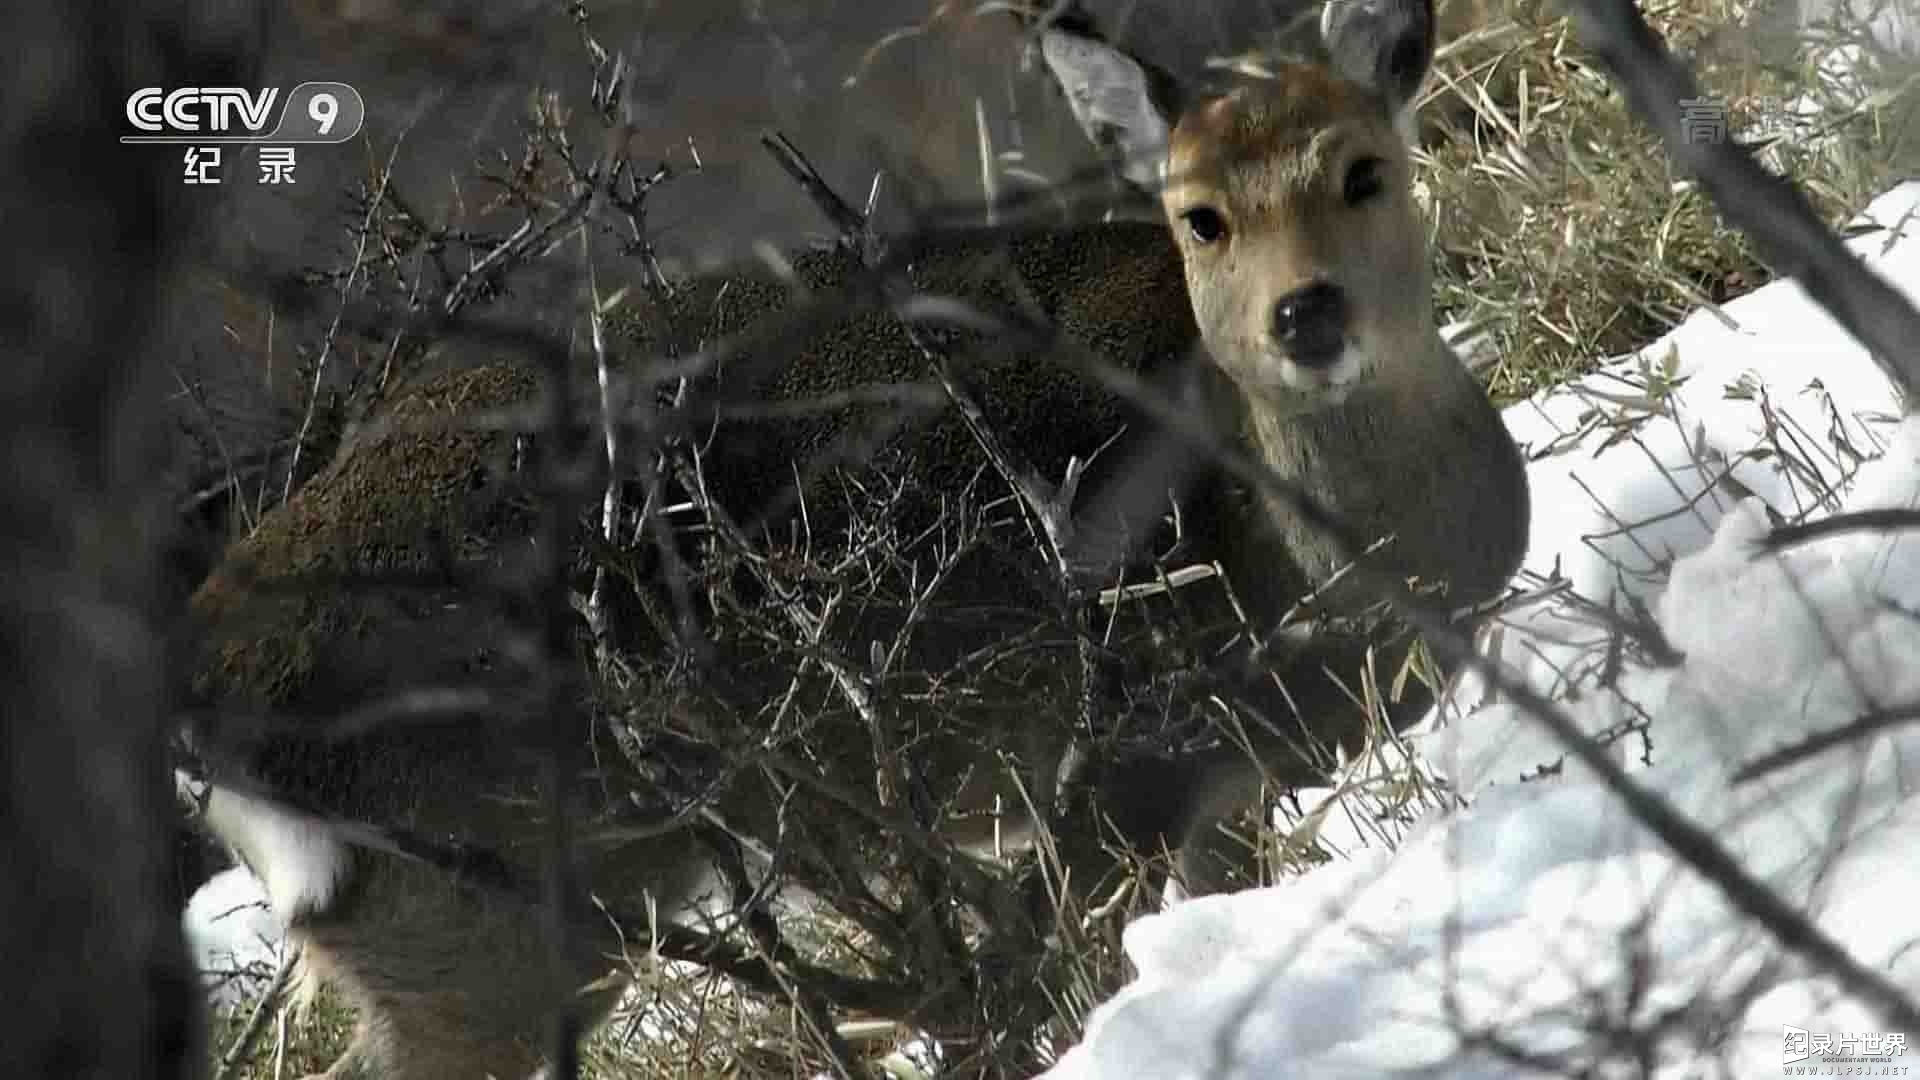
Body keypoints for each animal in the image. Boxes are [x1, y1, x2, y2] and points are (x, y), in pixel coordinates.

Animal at [180, 4, 1528, 1068]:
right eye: (1199, 216)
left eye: (1364, 169)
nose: (1308, 313)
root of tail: (210, 711)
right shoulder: (1116, 770)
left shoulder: (1229, 787)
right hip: (498, 910)